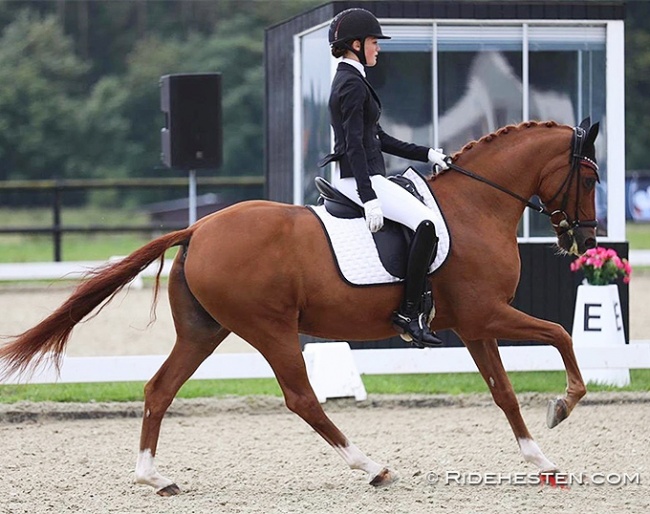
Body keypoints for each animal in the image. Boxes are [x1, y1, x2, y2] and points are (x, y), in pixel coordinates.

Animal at [0, 119, 600, 495]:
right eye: (592, 176)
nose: (585, 238)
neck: (478, 204)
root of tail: (198, 227)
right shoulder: (485, 314)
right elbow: (560, 334)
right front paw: (564, 406)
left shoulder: (475, 325)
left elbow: (504, 392)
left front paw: (543, 463)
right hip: (269, 329)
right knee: (302, 398)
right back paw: (372, 467)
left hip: (204, 331)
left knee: (159, 389)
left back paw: (156, 478)